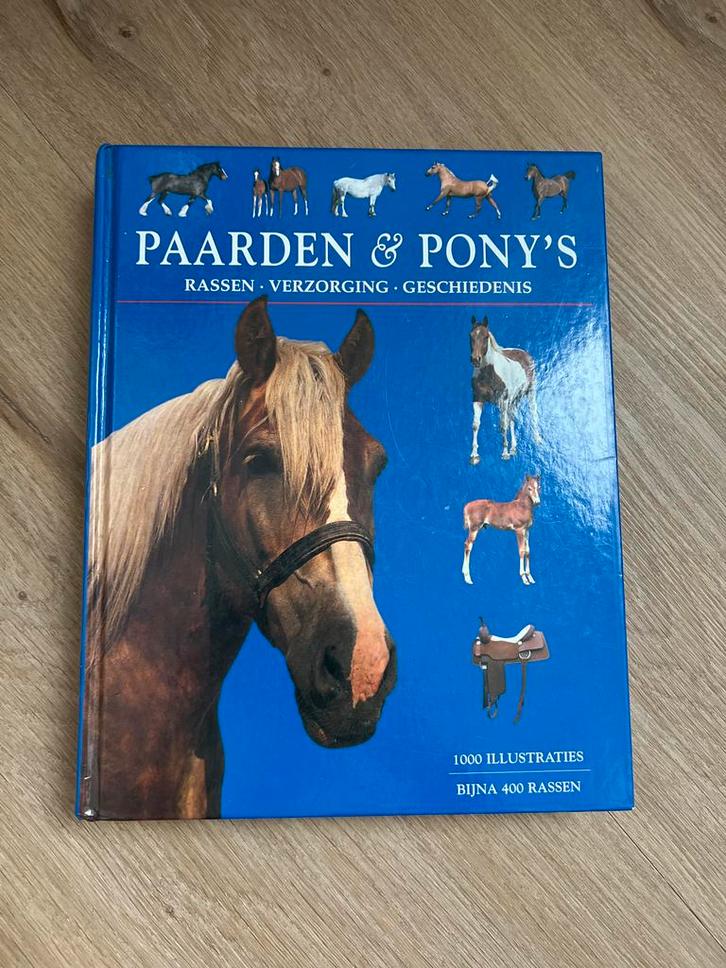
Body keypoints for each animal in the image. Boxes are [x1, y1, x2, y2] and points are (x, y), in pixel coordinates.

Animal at [469, 315, 542, 463]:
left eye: (485, 336)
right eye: (470, 335)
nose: (475, 359)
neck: (488, 374)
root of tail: (524, 353)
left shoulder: (503, 401)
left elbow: (503, 425)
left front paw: (504, 453)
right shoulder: (477, 399)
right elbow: (475, 425)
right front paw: (474, 456)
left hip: (530, 393)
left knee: (533, 414)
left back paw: (537, 439)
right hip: (514, 400)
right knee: (512, 418)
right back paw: (513, 448)